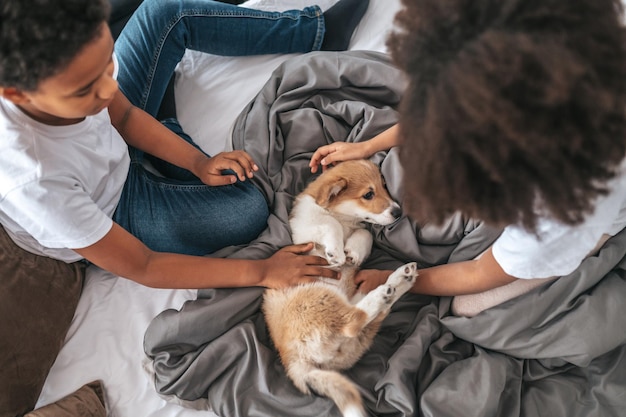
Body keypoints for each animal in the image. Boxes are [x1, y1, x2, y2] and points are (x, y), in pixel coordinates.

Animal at [260, 160, 416, 416]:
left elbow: (364, 234)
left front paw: (353, 253)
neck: (344, 218)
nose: (397, 212)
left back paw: (399, 280)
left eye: (385, 185)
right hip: (317, 300)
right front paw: (337, 253)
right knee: (353, 321)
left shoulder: (356, 229)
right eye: (368, 194)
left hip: (350, 327)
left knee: (365, 315)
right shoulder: (305, 229)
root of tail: (293, 361)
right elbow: (329, 224)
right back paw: (387, 289)